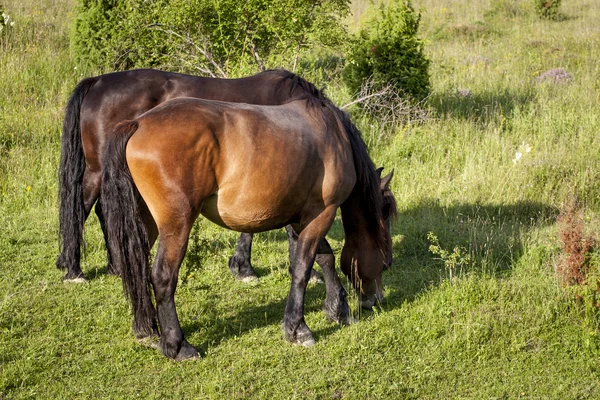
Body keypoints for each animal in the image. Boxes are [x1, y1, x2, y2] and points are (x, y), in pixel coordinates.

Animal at [58, 68, 346, 282]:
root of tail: (98, 82)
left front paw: (243, 266)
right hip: (98, 170)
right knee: (82, 208)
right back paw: (75, 271)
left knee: (101, 211)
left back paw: (113, 265)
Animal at [101, 81, 396, 360]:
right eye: (385, 264)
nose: (376, 299)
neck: (334, 134)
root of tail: (138, 123)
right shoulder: (322, 213)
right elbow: (303, 268)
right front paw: (298, 329)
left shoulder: (305, 217)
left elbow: (324, 258)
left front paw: (338, 309)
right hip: (177, 225)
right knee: (162, 276)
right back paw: (177, 345)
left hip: (146, 223)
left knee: (138, 268)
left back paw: (148, 330)